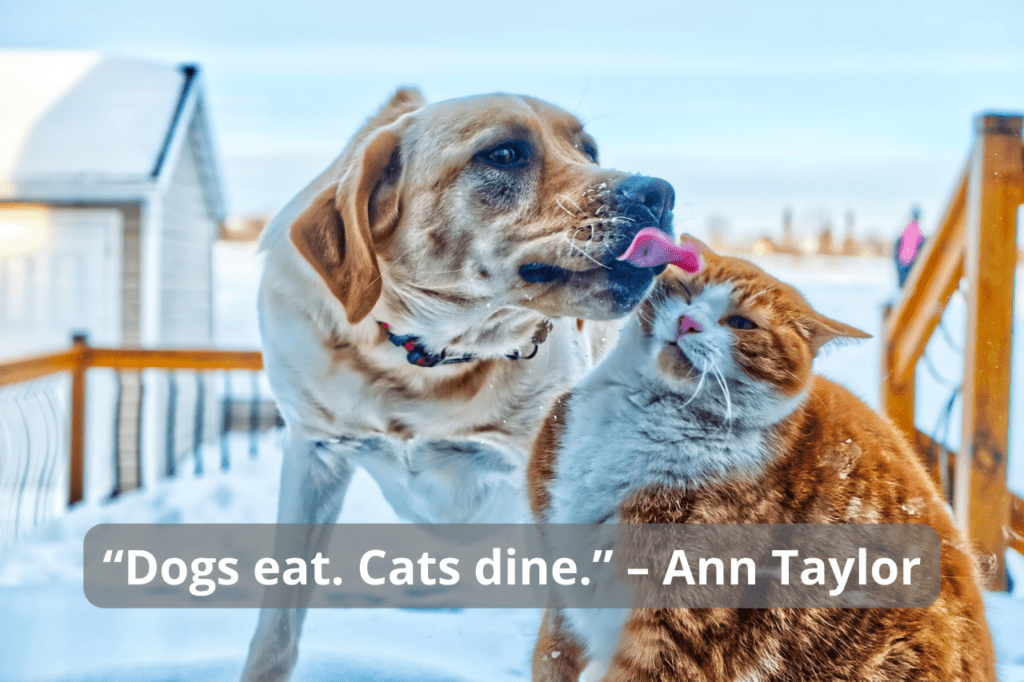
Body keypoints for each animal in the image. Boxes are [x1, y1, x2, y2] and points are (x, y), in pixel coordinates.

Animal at [238, 87, 671, 675]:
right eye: (504, 154)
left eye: (589, 149)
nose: (660, 193)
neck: (426, 360)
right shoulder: (314, 453)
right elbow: (278, 624)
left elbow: (558, 643)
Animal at [528, 238, 991, 679]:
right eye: (687, 290)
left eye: (741, 323)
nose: (687, 322)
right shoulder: (564, 599)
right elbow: (550, 656)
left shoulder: (678, 627)